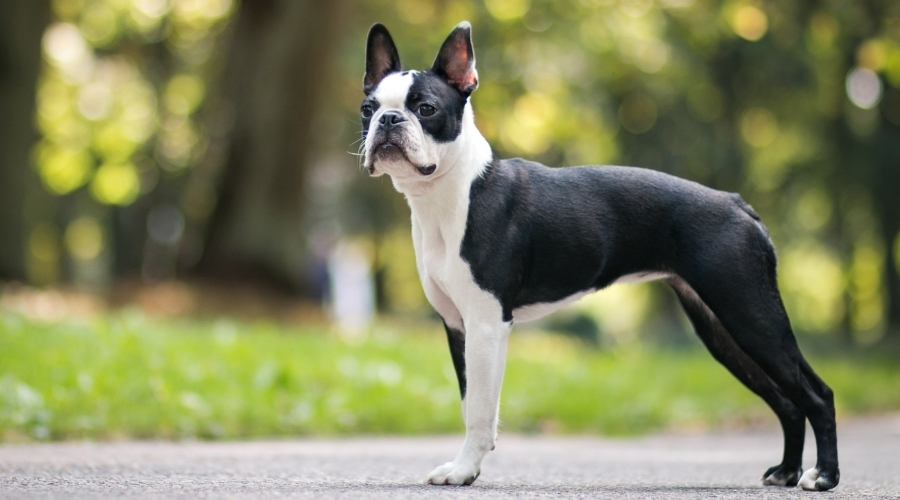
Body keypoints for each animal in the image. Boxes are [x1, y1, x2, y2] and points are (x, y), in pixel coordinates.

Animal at [356, 21, 836, 490]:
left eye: (426, 109)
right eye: (367, 109)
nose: (389, 119)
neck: (451, 193)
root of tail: (737, 204)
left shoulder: (486, 323)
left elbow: (479, 409)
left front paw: (462, 471)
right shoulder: (458, 325)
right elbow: (469, 399)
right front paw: (467, 467)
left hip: (750, 314)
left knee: (816, 393)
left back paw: (823, 476)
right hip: (722, 328)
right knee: (786, 400)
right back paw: (786, 472)